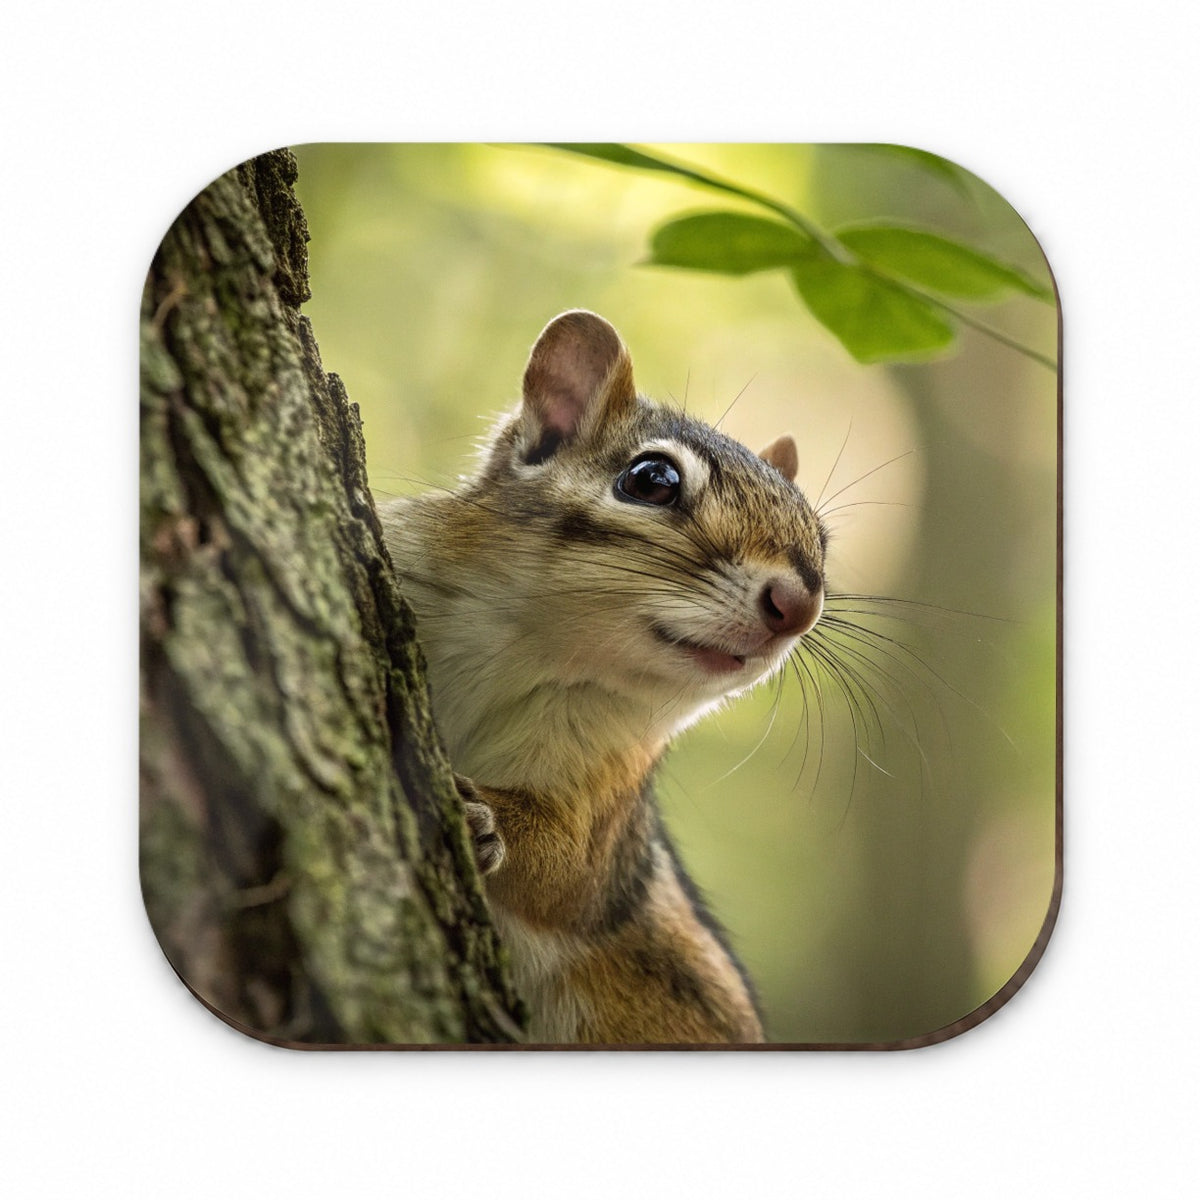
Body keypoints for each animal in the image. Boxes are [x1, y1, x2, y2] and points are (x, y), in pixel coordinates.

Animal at [381, 310, 827, 1044]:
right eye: (651, 479)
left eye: (822, 536)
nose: (798, 606)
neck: (529, 646)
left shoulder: (609, 793)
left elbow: (567, 870)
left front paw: (487, 820)